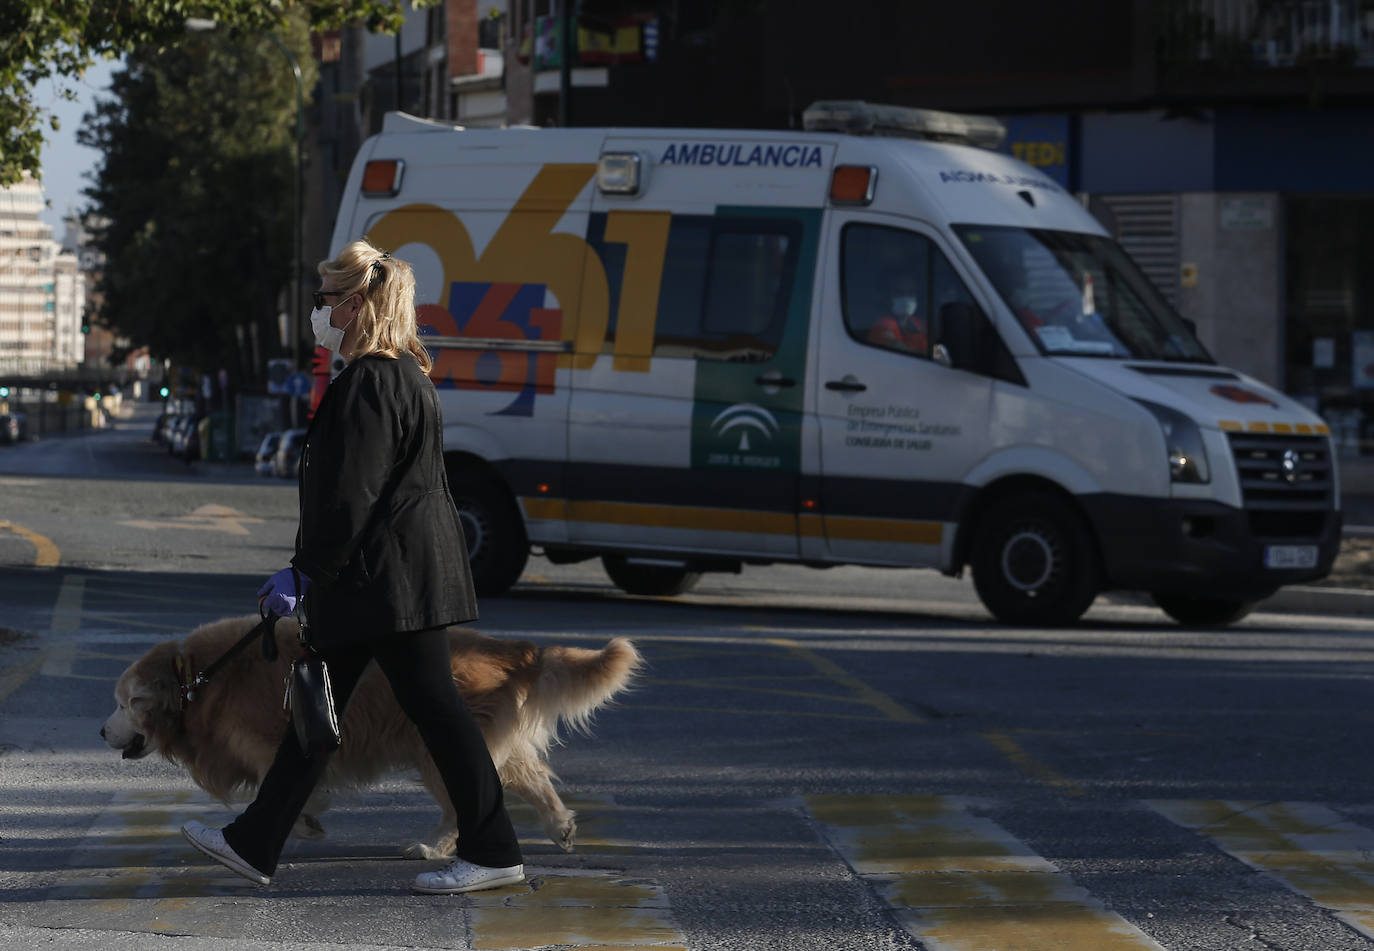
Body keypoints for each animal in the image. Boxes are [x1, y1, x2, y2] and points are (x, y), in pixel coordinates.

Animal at [100, 615, 637, 863]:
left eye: (124, 704)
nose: (102, 730)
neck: (198, 679)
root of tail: (515, 649)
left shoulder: (275, 740)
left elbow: (282, 786)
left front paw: (301, 822)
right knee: (529, 778)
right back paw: (559, 826)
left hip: (432, 745)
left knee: (460, 803)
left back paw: (434, 848)